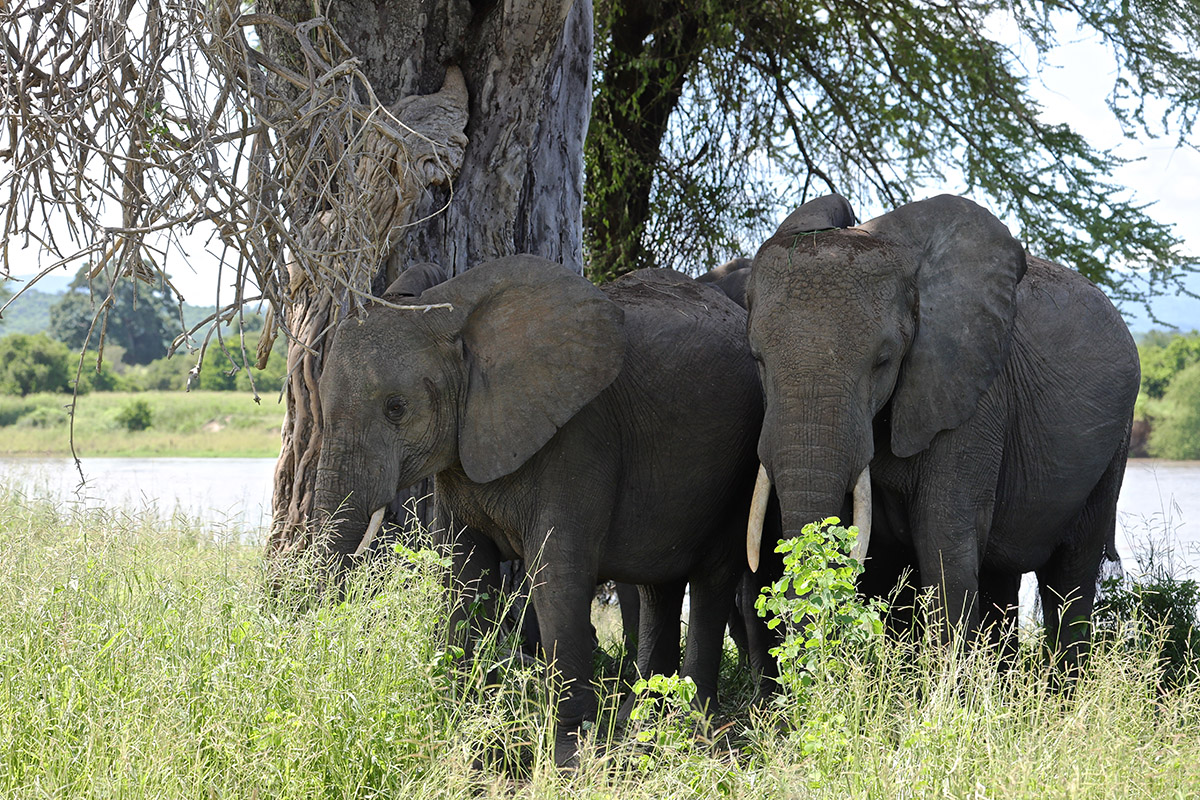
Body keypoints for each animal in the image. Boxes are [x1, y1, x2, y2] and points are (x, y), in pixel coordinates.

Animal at [309, 253, 758, 767]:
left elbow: (557, 577)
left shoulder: (580, 437)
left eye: (396, 408)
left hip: (738, 465)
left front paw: (569, 758)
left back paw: (694, 731)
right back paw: (640, 728)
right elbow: (464, 575)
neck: (453, 312)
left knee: (711, 578)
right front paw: (472, 743)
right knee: (657, 589)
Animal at [739, 194, 1142, 671]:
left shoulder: (972, 397)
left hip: (1115, 443)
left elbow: (943, 540)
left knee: (1072, 570)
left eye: (884, 360)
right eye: (757, 359)